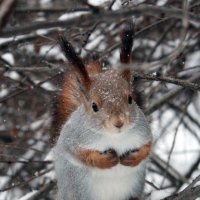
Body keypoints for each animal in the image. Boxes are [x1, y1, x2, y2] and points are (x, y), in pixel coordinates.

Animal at [51, 21, 152, 200]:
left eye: (130, 98)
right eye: (94, 106)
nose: (119, 123)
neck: (115, 137)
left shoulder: (143, 131)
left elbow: (147, 147)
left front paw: (132, 159)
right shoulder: (73, 139)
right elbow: (80, 155)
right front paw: (107, 161)